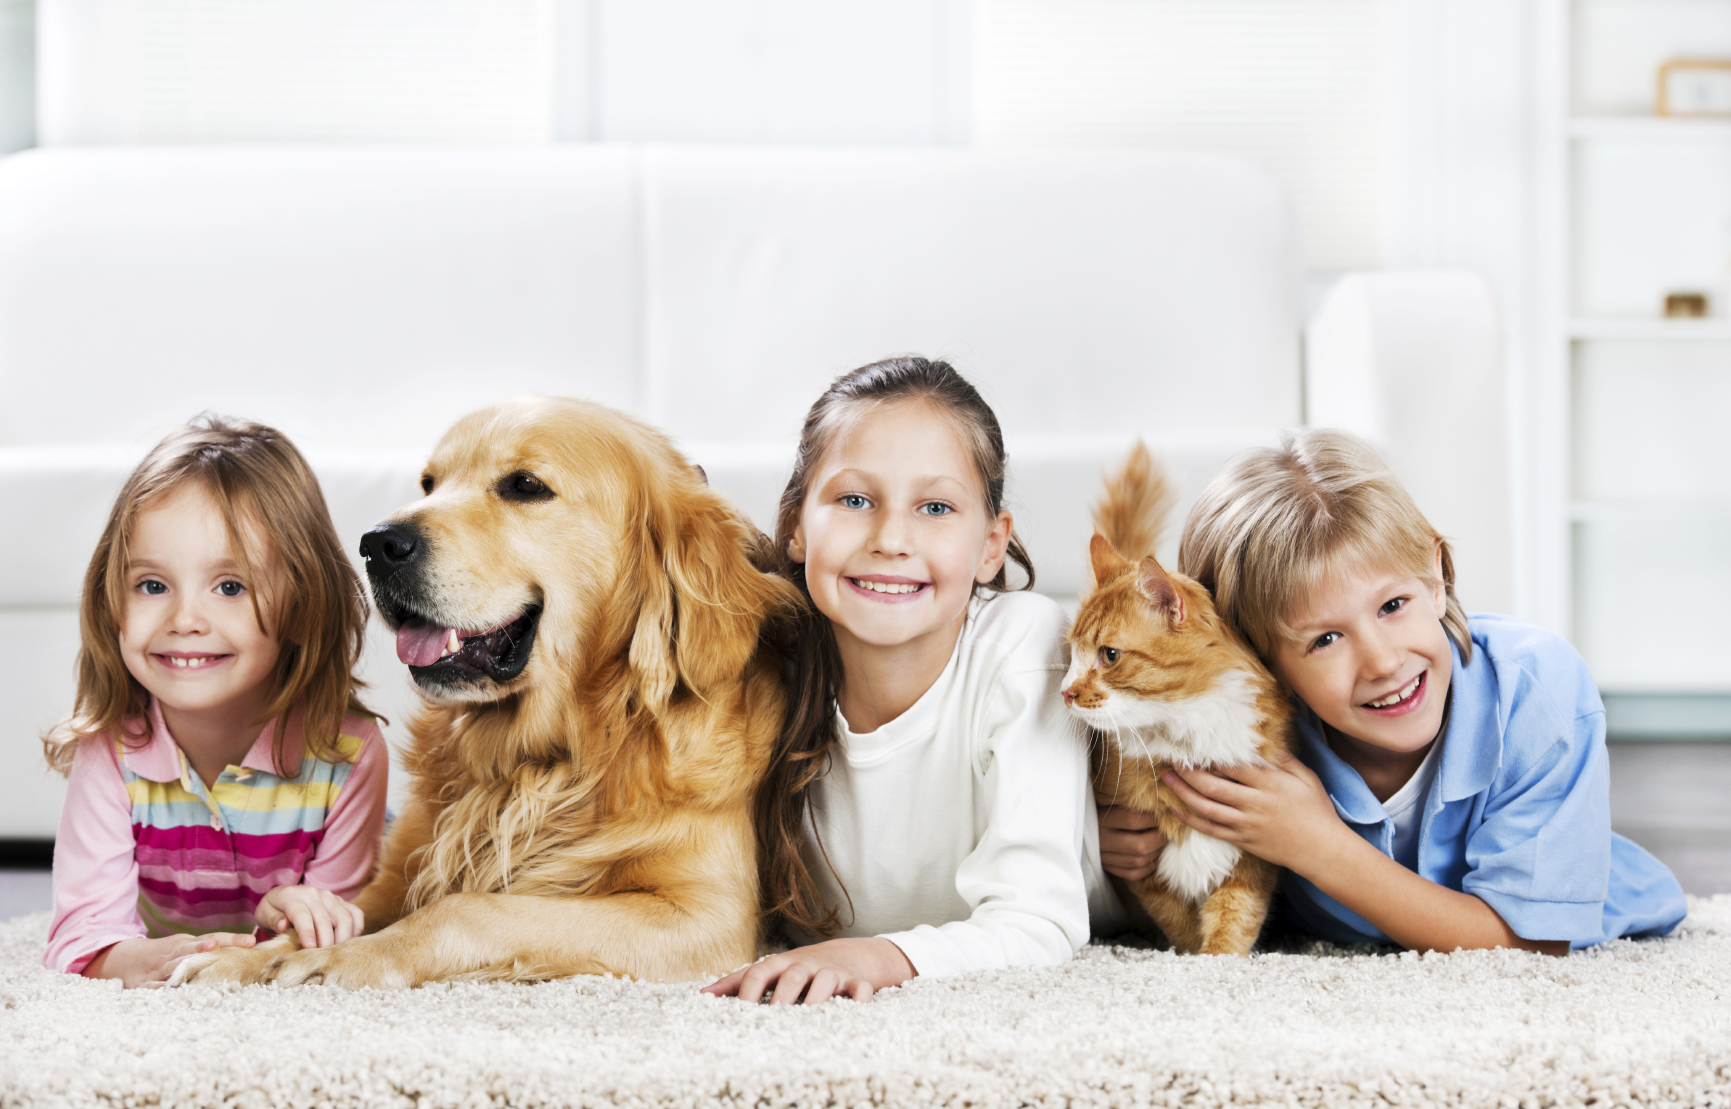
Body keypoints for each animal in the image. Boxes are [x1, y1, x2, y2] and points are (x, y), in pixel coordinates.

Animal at [172, 394, 806, 982]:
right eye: (428, 483)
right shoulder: (397, 873)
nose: (376, 544)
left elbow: (468, 909)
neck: (545, 758)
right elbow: (332, 912)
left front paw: (343, 959)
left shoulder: (703, 914)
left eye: (525, 485)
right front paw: (241, 956)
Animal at [1059, 441, 1294, 955]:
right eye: (1071, 655)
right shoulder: (1145, 869)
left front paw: (1216, 957)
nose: (1065, 692)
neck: (1182, 740)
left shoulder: (1250, 856)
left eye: (1109, 655)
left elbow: (1233, 919)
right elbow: (1180, 923)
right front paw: (1188, 959)